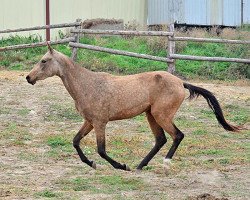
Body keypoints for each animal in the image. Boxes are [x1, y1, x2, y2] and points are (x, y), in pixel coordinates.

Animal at [25, 45, 240, 172]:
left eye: (43, 61)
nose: (28, 77)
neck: (88, 85)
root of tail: (181, 83)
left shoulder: (100, 122)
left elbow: (101, 150)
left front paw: (121, 165)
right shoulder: (89, 121)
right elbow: (76, 141)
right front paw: (92, 164)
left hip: (161, 115)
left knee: (177, 135)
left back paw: (164, 163)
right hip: (151, 115)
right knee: (161, 139)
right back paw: (140, 165)